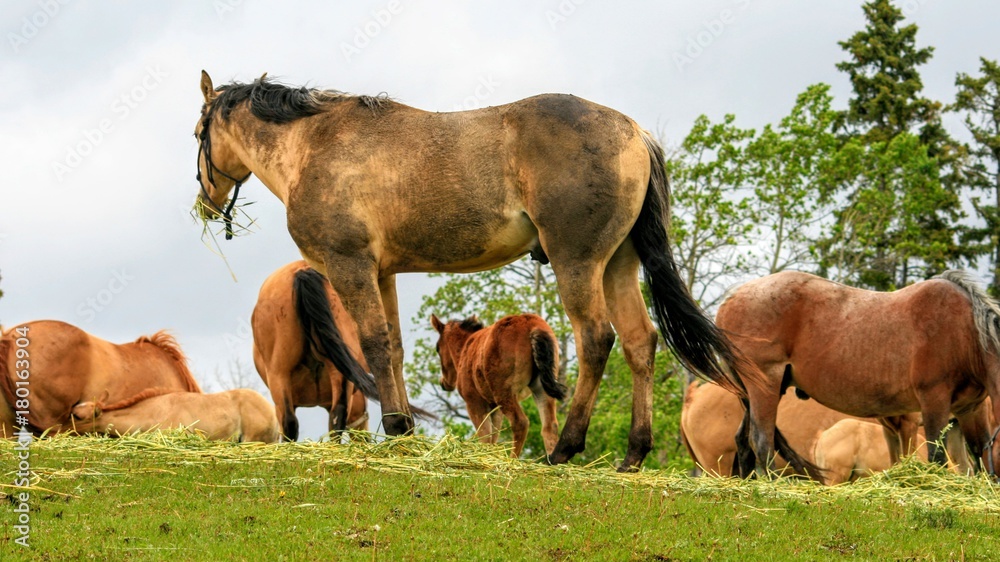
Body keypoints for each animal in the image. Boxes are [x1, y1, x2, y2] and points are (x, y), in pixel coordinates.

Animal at [431, 314, 567, 458]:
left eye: (438, 348)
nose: (444, 383)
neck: (466, 347)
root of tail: (532, 326)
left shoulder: (474, 402)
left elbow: (485, 437)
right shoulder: (494, 408)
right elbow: (493, 437)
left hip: (504, 393)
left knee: (520, 423)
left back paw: (512, 459)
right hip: (541, 389)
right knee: (550, 426)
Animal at [716, 270, 1000, 478]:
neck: (965, 332)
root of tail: (730, 298)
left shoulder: (969, 409)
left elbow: (980, 451)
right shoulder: (934, 402)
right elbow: (936, 457)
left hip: (757, 392)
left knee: (744, 441)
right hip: (764, 385)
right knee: (761, 440)